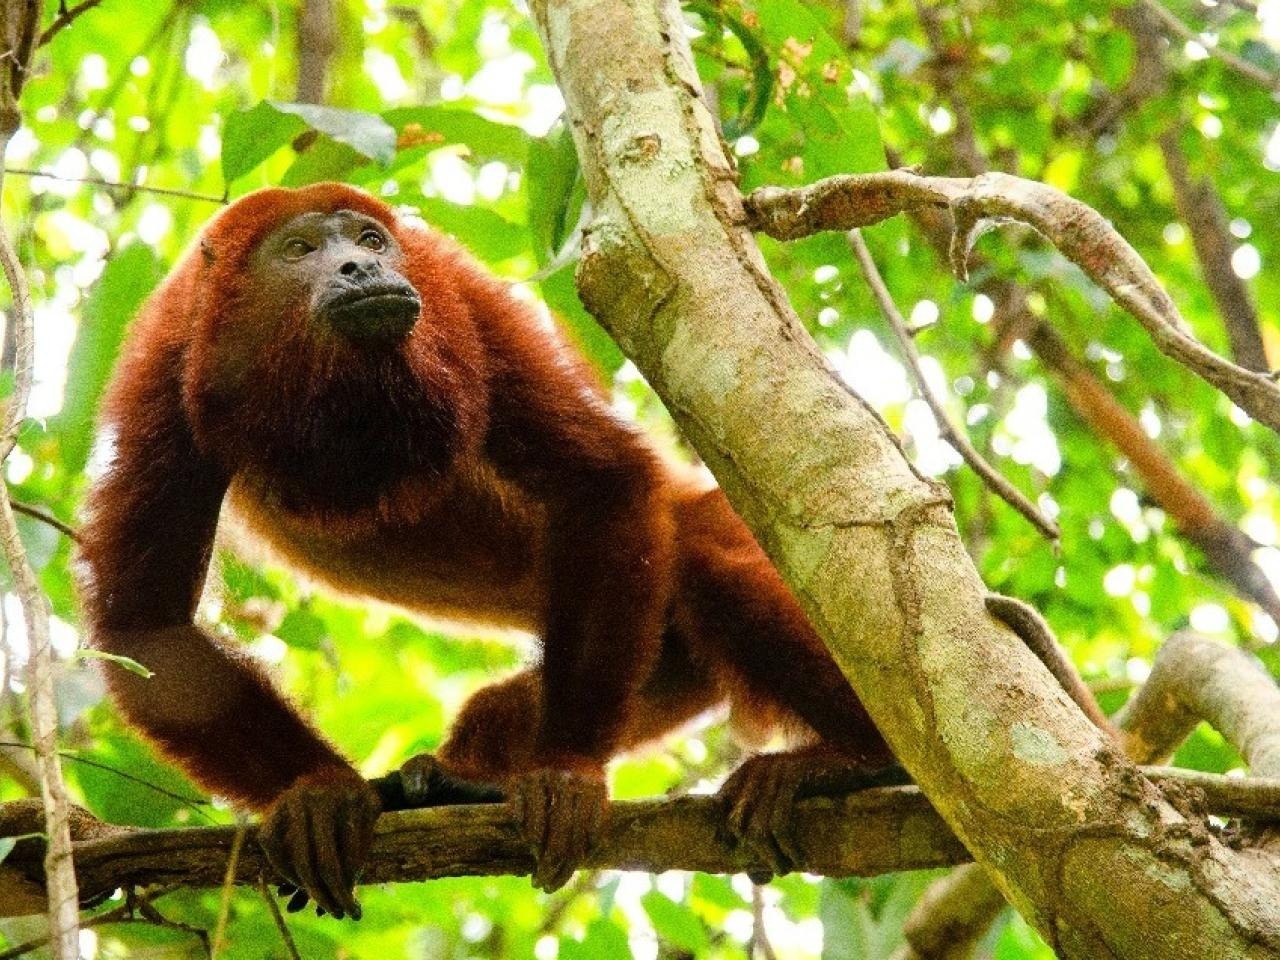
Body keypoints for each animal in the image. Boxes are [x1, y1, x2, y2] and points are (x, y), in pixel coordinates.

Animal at [78, 182, 1109, 919]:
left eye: (368, 241)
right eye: (299, 250)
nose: (360, 272)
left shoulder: (457, 297)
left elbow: (601, 481)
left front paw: (568, 776)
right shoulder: (166, 363)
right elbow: (148, 630)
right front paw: (316, 794)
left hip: (700, 543)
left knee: (707, 565)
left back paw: (856, 761)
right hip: (656, 673)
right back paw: (451, 779)